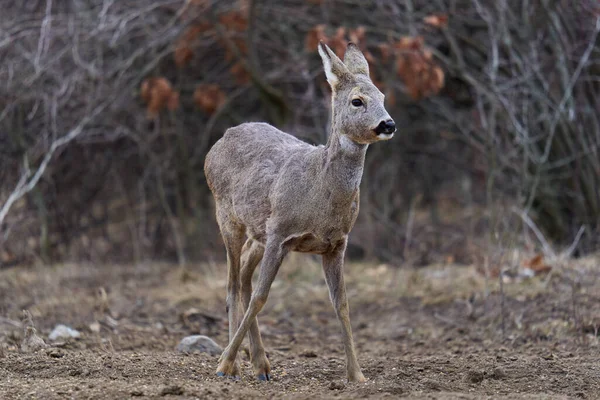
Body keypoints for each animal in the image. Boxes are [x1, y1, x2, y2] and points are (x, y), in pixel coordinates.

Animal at [204, 42, 396, 382]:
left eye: (383, 97)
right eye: (357, 100)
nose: (388, 124)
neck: (319, 193)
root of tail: (220, 141)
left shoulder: (336, 244)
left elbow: (341, 304)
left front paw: (357, 375)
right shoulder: (281, 232)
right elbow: (262, 297)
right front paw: (224, 364)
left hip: (259, 232)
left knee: (244, 278)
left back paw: (260, 365)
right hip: (227, 216)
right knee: (232, 285)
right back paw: (234, 366)